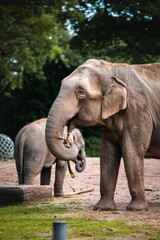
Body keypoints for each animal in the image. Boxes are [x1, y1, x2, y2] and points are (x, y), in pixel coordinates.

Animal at [45, 59, 160, 211]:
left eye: (81, 92)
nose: (67, 139)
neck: (112, 68)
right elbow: (107, 153)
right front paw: (103, 208)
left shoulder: (138, 109)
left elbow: (132, 150)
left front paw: (136, 209)